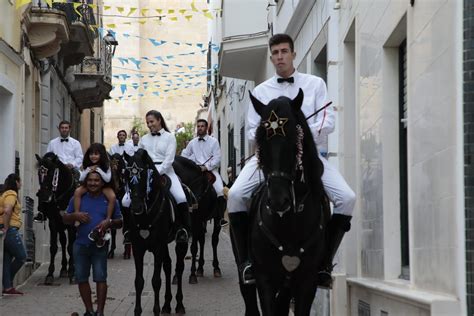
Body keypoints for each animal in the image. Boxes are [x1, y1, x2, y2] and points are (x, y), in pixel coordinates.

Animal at [34, 152, 77, 286]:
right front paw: (49, 275)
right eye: (39, 173)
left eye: (52, 173)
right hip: (60, 224)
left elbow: (71, 247)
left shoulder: (72, 224)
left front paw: (73, 273)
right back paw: (63, 269)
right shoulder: (53, 222)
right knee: (63, 241)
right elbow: (54, 247)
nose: (43, 196)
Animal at [123, 149, 188, 314]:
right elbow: (139, 281)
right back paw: (167, 305)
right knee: (168, 266)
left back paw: (179, 305)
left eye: (144, 174)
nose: (136, 207)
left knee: (179, 268)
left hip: (180, 243)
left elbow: (156, 280)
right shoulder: (138, 248)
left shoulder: (158, 248)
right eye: (126, 175)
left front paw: (156, 310)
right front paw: (137, 311)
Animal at [174, 156, 224, 284]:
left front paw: (192, 275)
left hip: (215, 220)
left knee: (214, 241)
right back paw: (200, 268)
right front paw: (176, 275)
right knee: (202, 240)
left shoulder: (195, 221)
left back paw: (216, 268)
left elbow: (193, 248)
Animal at [243, 89, 328, 316]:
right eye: (261, 144)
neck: (288, 223)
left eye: (293, 143)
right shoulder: (265, 279)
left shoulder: (307, 282)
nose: (278, 201)